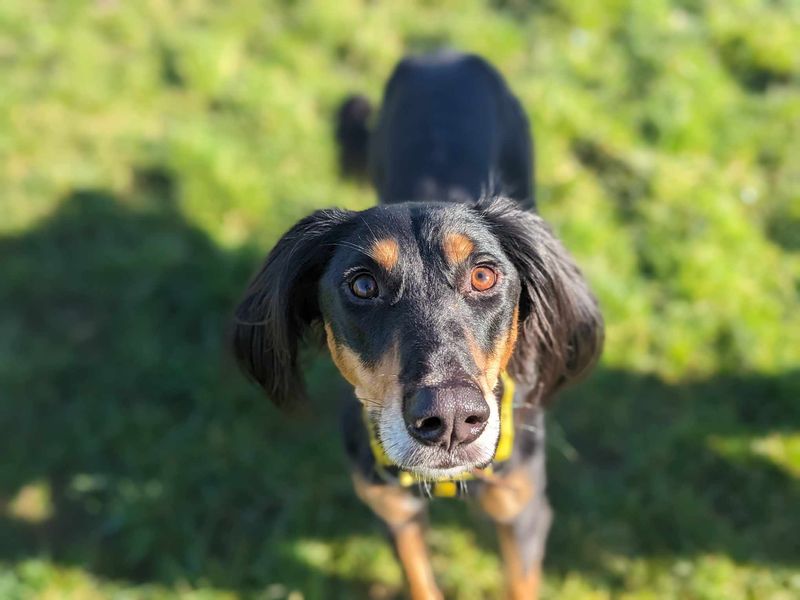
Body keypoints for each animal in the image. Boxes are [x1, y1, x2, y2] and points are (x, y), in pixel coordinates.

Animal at [234, 52, 604, 600]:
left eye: (483, 275)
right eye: (363, 285)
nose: (450, 419)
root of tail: (440, 54)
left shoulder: (524, 511)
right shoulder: (394, 511)